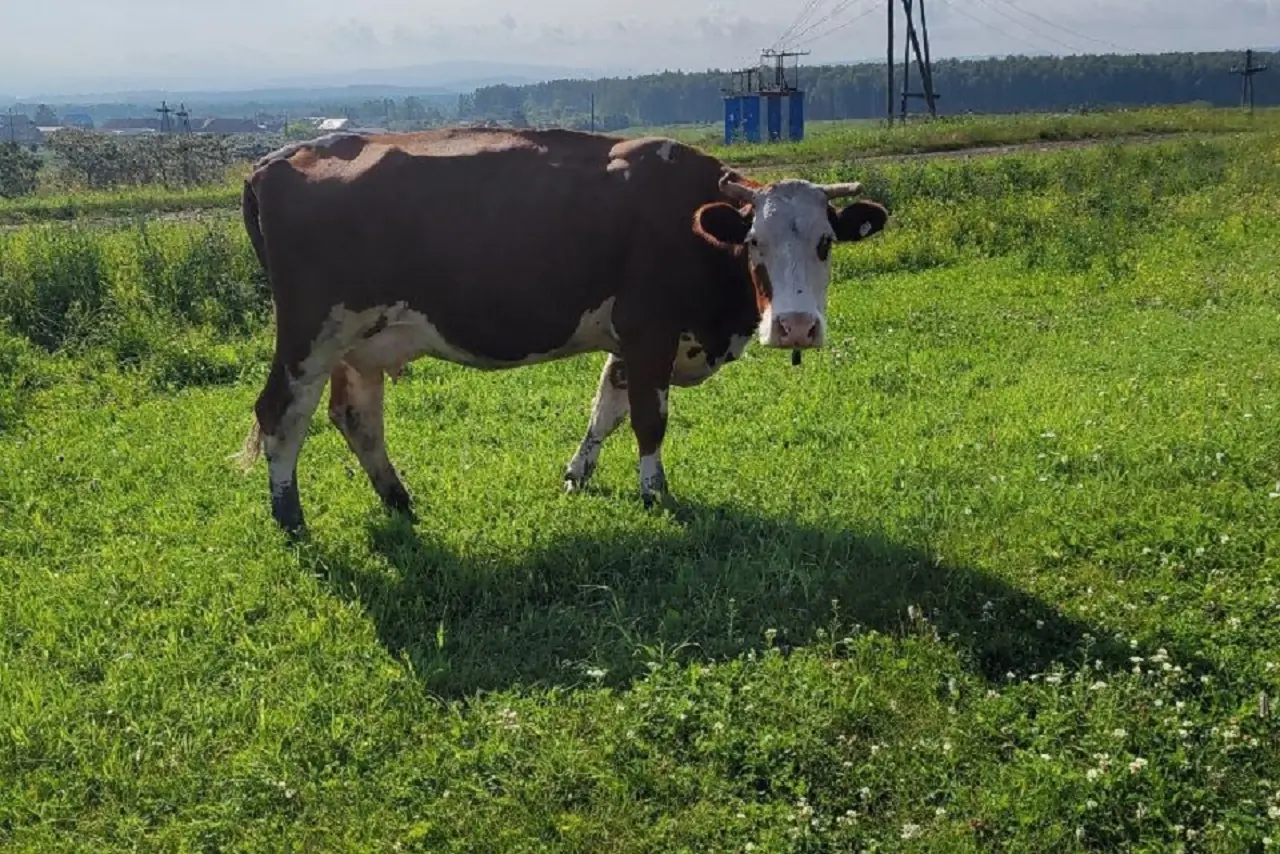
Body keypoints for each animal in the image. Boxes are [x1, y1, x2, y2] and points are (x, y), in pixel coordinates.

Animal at [234, 127, 889, 534]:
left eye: (825, 243)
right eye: (755, 242)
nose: (796, 327)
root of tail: (273, 160)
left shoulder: (631, 343)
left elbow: (606, 409)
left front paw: (577, 475)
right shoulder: (649, 330)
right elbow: (649, 420)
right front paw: (654, 492)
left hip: (360, 342)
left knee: (356, 417)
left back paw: (397, 498)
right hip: (309, 336)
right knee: (281, 415)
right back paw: (290, 518)